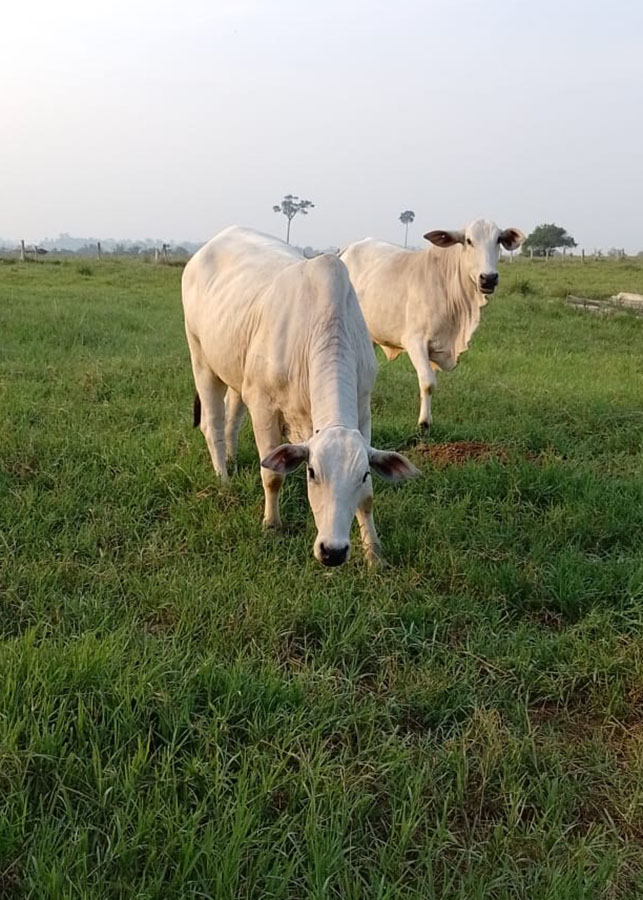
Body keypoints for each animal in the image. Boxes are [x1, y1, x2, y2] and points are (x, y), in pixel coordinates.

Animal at [182, 226, 418, 567]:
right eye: (311, 472)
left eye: (362, 474)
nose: (333, 551)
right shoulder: (263, 406)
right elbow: (272, 475)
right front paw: (271, 525)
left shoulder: (363, 409)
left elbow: (368, 498)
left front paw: (374, 553)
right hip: (201, 357)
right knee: (212, 423)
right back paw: (223, 479)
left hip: (237, 372)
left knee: (232, 417)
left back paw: (230, 458)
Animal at [340, 219, 525, 430]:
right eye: (469, 241)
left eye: (498, 240)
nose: (489, 278)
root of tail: (349, 249)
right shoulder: (415, 342)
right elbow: (428, 382)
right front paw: (424, 423)